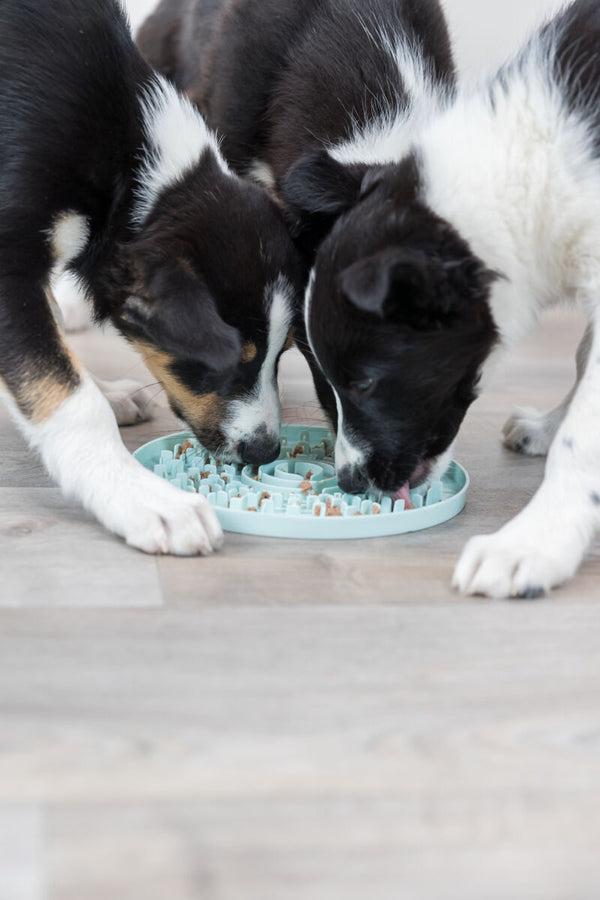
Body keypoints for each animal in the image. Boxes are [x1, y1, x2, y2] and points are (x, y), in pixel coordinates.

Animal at [0, 0, 302, 556]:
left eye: (284, 350)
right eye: (228, 360)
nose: (265, 451)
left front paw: (105, 391)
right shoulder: (8, 264)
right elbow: (68, 396)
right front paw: (142, 499)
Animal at [304, 0, 600, 600]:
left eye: (363, 384)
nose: (349, 482)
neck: (534, 161)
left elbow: (584, 436)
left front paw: (533, 544)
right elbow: (584, 360)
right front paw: (551, 424)